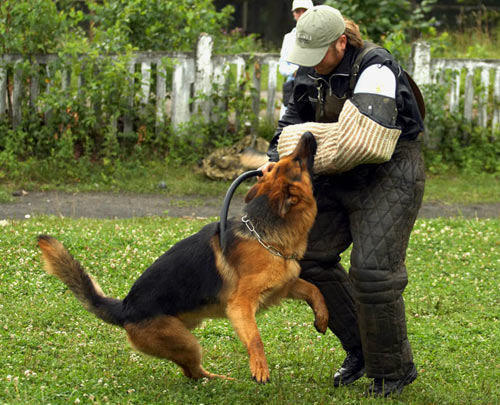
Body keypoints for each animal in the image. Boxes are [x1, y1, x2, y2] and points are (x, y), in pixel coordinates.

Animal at [37, 132, 326, 382]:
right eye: (297, 160)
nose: (308, 134)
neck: (264, 233)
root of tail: (125, 307)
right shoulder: (240, 305)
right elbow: (255, 337)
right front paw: (259, 367)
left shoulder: (284, 287)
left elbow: (314, 290)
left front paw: (322, 318)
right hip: (187, 342)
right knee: (192, 372)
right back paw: (219, 379)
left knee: (191, 372)